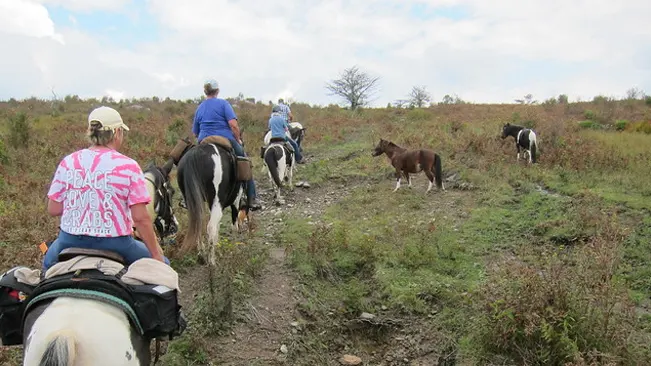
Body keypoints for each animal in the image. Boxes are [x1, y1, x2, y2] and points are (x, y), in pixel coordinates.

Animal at [176, 137, 250, 266]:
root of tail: (195, 155)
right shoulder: (235, 204)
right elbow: (233, 227)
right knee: (210, 227)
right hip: (217, 203)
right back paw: (211, 262)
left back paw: (202, 256)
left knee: (198, 224)